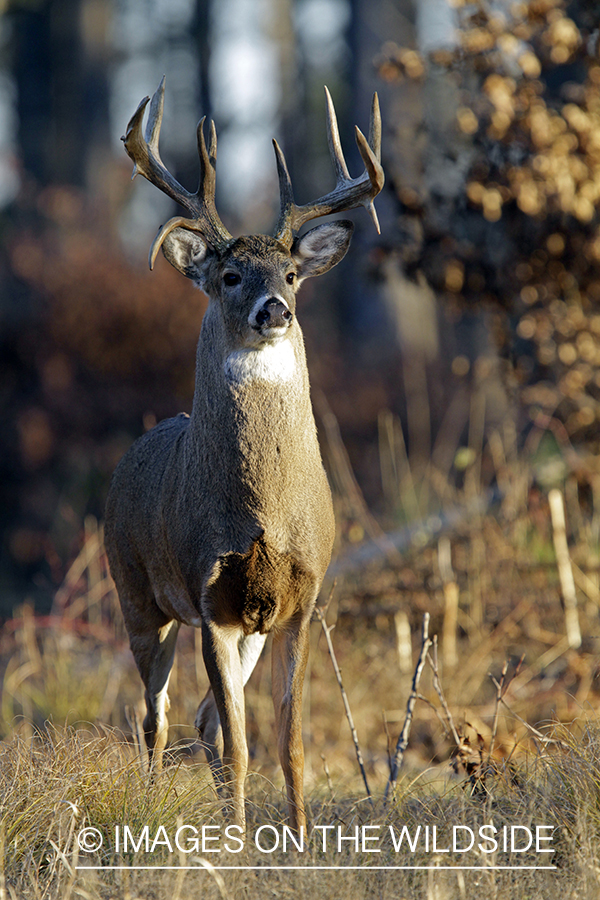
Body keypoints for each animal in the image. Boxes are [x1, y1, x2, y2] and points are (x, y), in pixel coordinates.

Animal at [104, 74, 384, 832]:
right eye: (230, 276)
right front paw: (234, 839)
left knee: (197, 718)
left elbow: (286, 740)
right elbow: (239, 743)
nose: (274, 310)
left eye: (291, 273)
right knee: (154, 718)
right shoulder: (209, 597)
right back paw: (149, 804)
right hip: (135, 593)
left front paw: (300, 837)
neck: (262, 513)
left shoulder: (301, 598)